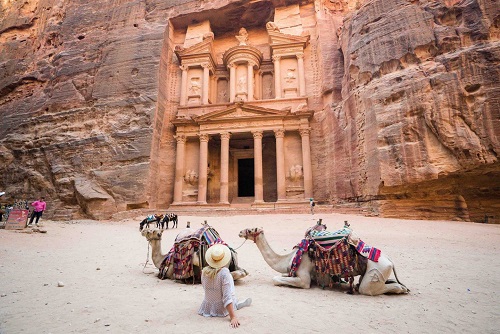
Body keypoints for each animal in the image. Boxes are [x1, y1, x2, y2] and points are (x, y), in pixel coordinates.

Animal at [239, 226, 410, 296]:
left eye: (251, 229)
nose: (240, 232)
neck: (290, 257)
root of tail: (390, 260)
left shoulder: (304, 277)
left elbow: (276, 279)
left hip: (377, 270)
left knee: (366, 289)